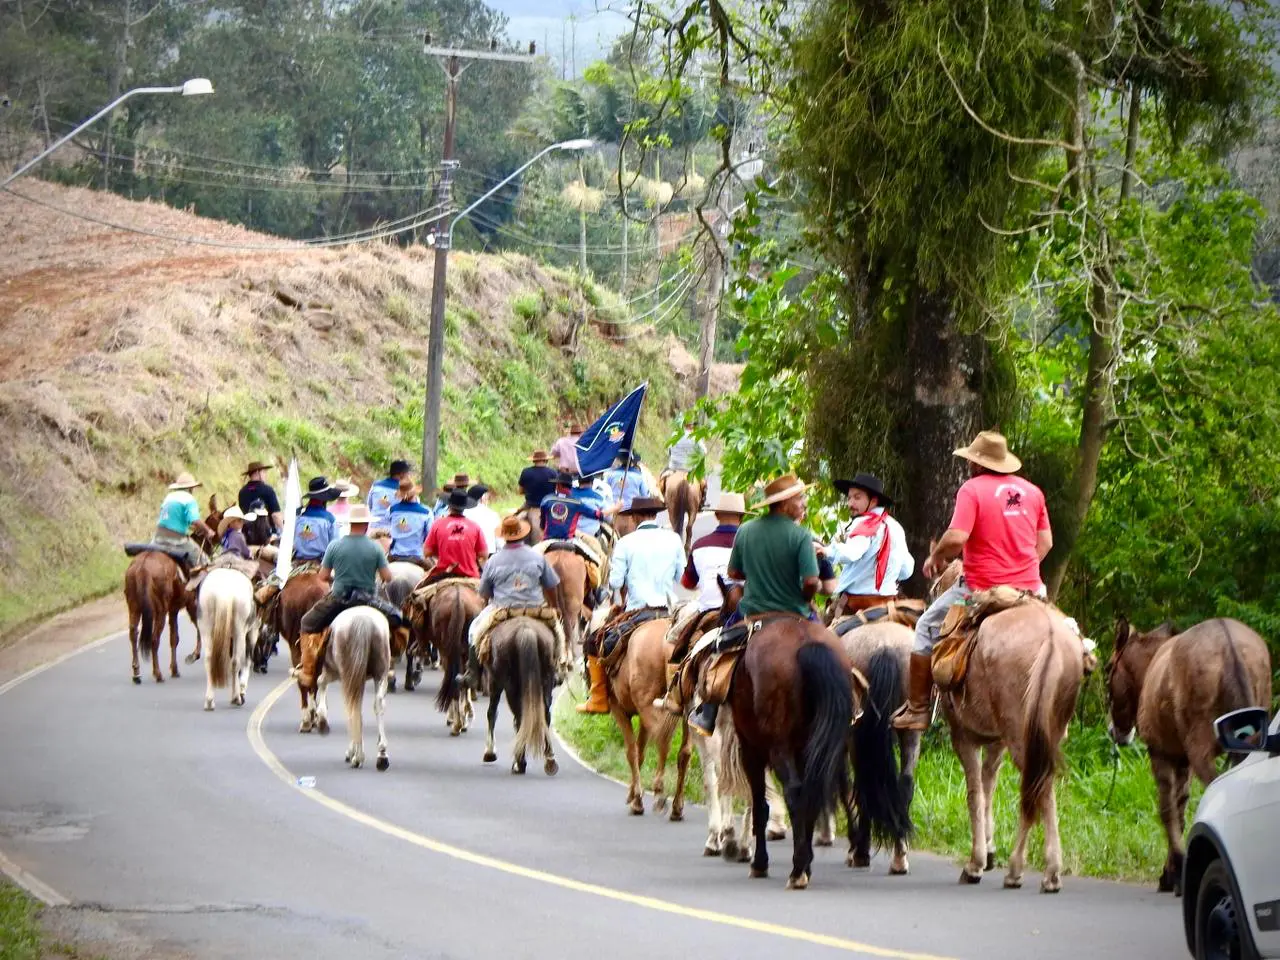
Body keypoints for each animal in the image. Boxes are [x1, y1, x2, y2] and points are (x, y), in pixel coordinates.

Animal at [124, 547, 194, 686]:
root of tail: (142, 568)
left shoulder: (174, 609)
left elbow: (174, 638)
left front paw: (174, 669)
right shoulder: (189, 603)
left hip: (133, 606)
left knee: (133, 634)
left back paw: (136, 674)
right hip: (160, 611)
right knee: (154, 639)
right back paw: (158, 674)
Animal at [197, 568, 257, 711]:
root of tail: (223, 591)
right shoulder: (253, 631)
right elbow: (247, 661)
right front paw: (241, 692)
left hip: (205, 626)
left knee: (208, 659)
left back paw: (209, 701)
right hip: (239, 630)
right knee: (236, 661)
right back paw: (236, 698)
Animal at [302, 609, 391, 773]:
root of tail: (363, 621)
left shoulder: (334, 672)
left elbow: (321, 682)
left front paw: (322, 721)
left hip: (347, 674)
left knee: (352, 707)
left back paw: (358, 757)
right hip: (379, 673)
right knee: (377, 705)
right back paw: (382, 756)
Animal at [596, 611, 691, 824]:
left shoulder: (619, 710)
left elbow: (632, 752)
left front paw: (637, 799)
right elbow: (640, 751)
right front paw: (632, 794)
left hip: (649, 704)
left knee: (663, 741)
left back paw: (659, 794)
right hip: (687, 709)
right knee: (684, 752)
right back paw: (677, 807)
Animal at [1105, 616, 1274, 896]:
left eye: (1108, 668)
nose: (1115, 731)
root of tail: (1231, 650)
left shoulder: (1161, 752)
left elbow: (1168, 811)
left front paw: (1173, 873)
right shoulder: (1182, 759)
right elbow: (1181, 809)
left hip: (1201, 748)